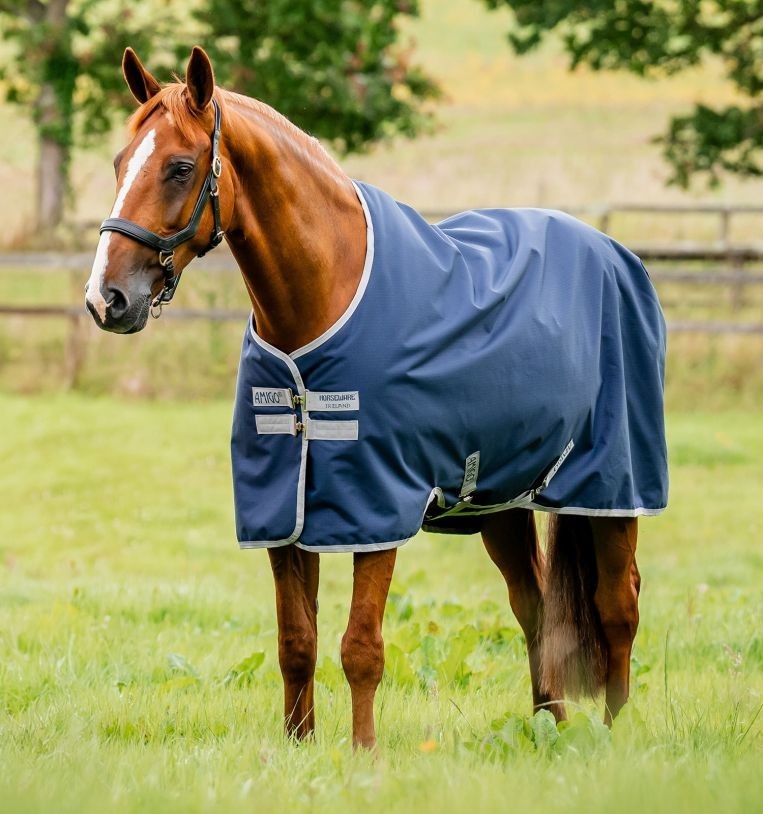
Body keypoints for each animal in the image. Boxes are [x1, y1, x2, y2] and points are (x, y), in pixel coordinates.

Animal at [85, 46, 667, 750]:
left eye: (179, 167)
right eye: (120, 163)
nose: (106, 298)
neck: (324, 300)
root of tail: (615, 254)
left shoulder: (376, 504)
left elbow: (360, 646)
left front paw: (364, 755)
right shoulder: (283, 509)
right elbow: (296, 643)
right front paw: (298, 747)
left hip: (612, 486)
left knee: (618, 605)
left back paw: (616, 733)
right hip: (500, 498)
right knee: (533, 607)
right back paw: (547, 726)